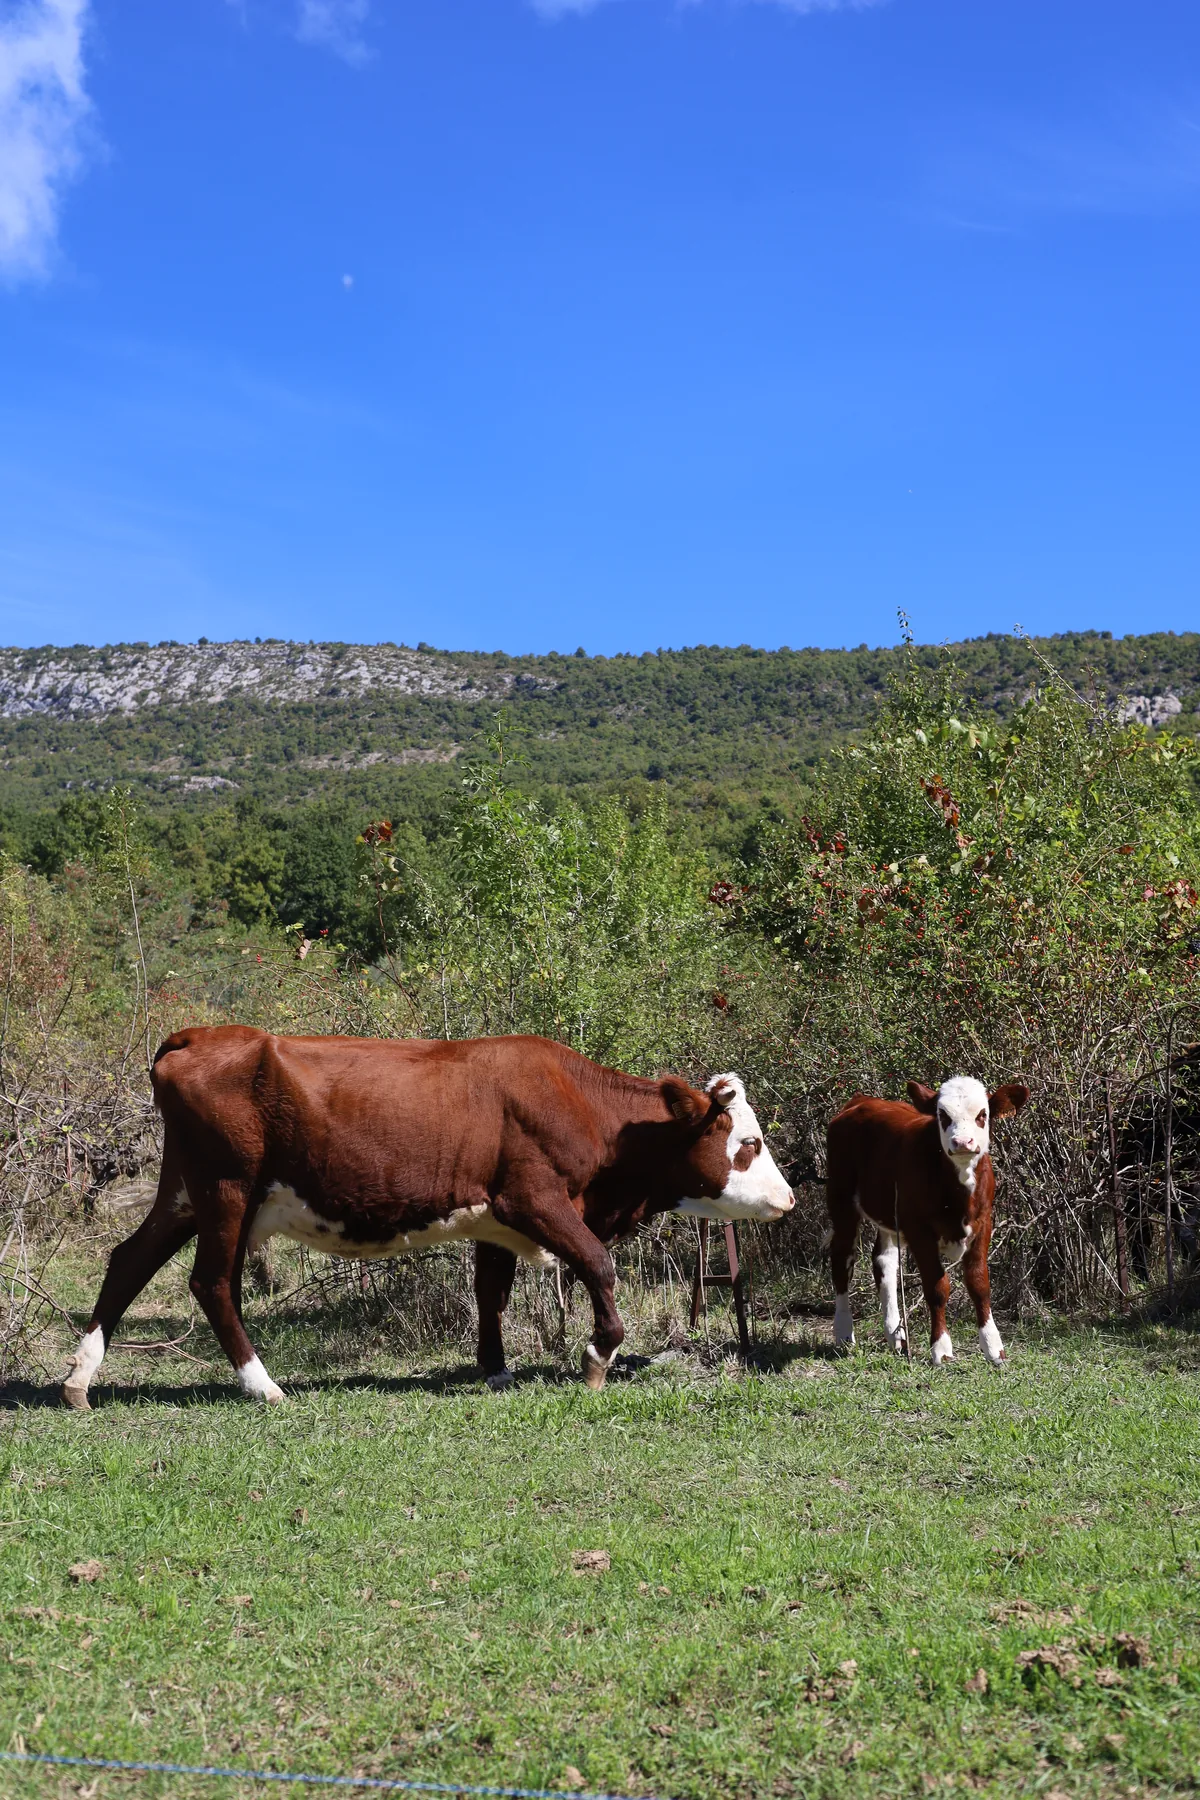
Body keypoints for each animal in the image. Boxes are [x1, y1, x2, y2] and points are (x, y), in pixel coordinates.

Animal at [62, 1027, 794, 1410]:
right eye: (747, 1142)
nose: (787, 1198)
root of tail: (198, 1035)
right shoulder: (535, 1200)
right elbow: (598, 1264)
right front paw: (596, 1355)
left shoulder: (495, 1219)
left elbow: (491, 1292)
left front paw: (496, 1369)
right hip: (227, 1190)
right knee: (211, 1282)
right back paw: (262, 1384)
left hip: (188, 1192)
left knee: (129, 1259)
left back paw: (78, 1379)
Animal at [825, 1076, 1029, 1366]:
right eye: (942, 1115)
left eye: (982, 1115)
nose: (962, 1142)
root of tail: (862, 1100)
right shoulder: (919, 1230)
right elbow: (937, 1288)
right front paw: (941, 1348)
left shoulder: (984, 1223)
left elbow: (979, 1284)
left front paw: (993, 1347)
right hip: (840, 1198)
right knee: (842, 1260)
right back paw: (844, 1333)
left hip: (888, 1214)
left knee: (884, 1263)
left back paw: (896, 1337)